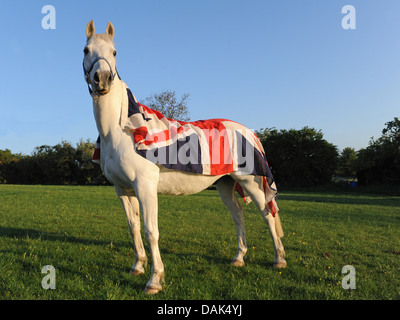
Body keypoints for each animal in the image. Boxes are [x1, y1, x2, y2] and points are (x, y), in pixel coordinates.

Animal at [83, 20, 286, 296]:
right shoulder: (122, 189)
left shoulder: (145, 187)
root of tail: (249, 132)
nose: (102, 79)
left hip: (251, 183)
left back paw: (279, 260)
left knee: (267, 215)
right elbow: (133, 228)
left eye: (115, 53)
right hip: (225, 184)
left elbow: (150, 231)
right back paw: (239, 258)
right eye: (86, 50)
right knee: (238, 216)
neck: (121, 130)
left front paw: (154, 280)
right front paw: (137, 267)